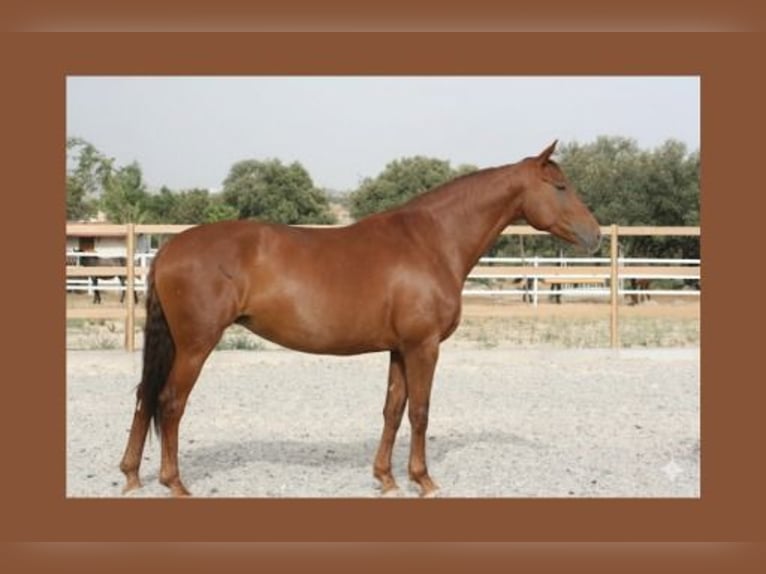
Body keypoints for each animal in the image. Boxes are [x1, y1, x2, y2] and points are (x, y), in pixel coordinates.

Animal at [118, 141, 602, 498]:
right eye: (560, 186)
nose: (595, 235)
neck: (432, 241)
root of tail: (169, 247)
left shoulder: (399, 349)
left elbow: (393, 409)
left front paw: (386, 479)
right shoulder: (423, 346)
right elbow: (421, 411)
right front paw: (423, 480)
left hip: (177, 345)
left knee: (144, 395)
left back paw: (131, 476)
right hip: (196, 345)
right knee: (170, 403)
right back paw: (174, 484)